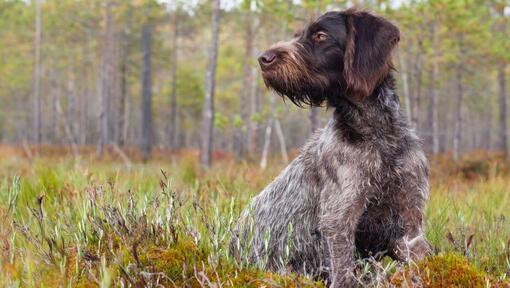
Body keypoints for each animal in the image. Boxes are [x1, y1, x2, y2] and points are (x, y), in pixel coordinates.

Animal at [230, 7, 430, 286]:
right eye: (299, 35)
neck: (377, 135)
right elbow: (344, 273)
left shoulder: (410, 222)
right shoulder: (338, 220)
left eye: (320, 35)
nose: (263, 58)